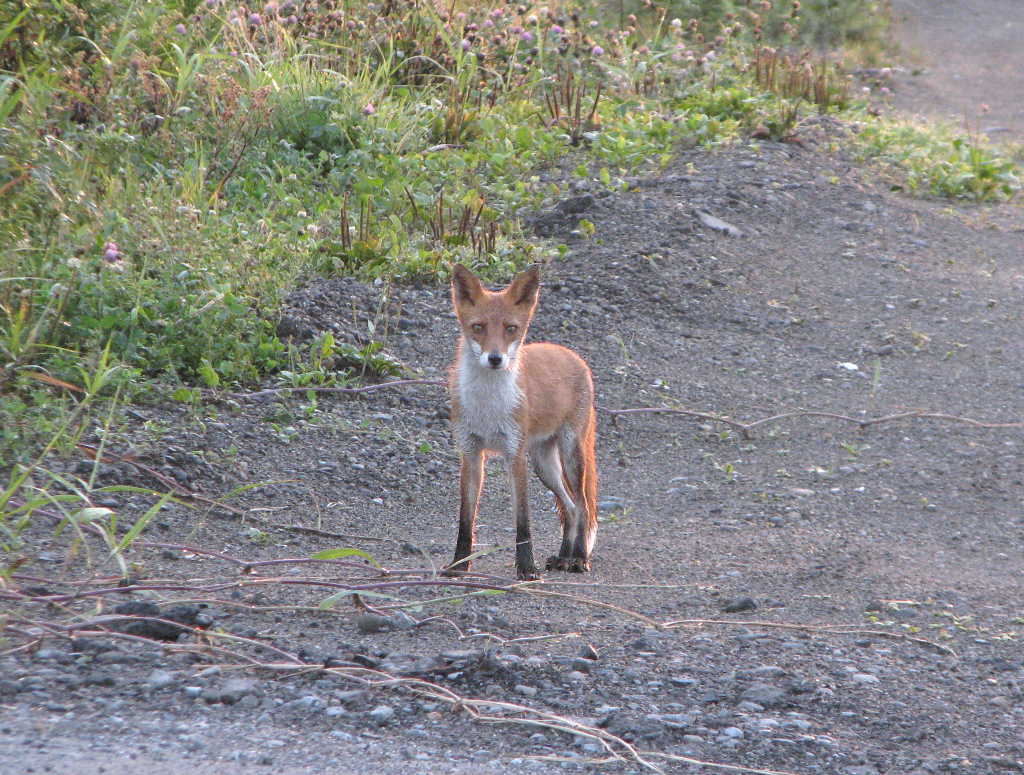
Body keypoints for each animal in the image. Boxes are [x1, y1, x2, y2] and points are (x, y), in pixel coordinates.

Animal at [444, 262, 598, 577]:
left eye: (510, 328)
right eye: (478, 327)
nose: (495, 359)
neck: (487, 405)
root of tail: (573, 355)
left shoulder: (514, 454)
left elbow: (523, 521)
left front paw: (527, 568)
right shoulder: (470, 452)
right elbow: (466, 519)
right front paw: (459, 565)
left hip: (570, 453)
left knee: (582, 506)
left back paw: (578, 558)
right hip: (544, 464)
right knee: (569, 508)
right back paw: (563, 557)